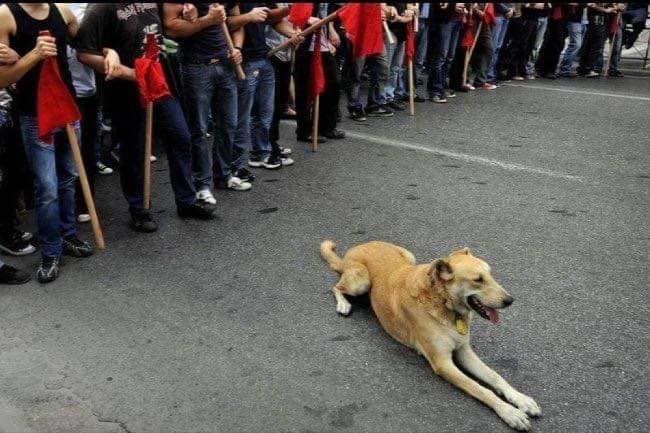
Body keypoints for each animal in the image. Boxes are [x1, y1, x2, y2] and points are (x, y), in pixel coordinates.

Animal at [320, 240, 540, 428]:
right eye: (478, 280)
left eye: (490, 274)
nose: (510, 300)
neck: (443, 303)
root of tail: (360, 245)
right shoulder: (443, 363)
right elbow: (481, 389)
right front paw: (509, 412)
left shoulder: (464, 351)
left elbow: (495, 377)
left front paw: (521, 399)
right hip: (361, 282)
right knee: (336, 287)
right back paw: (343, 304)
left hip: (409, 257)